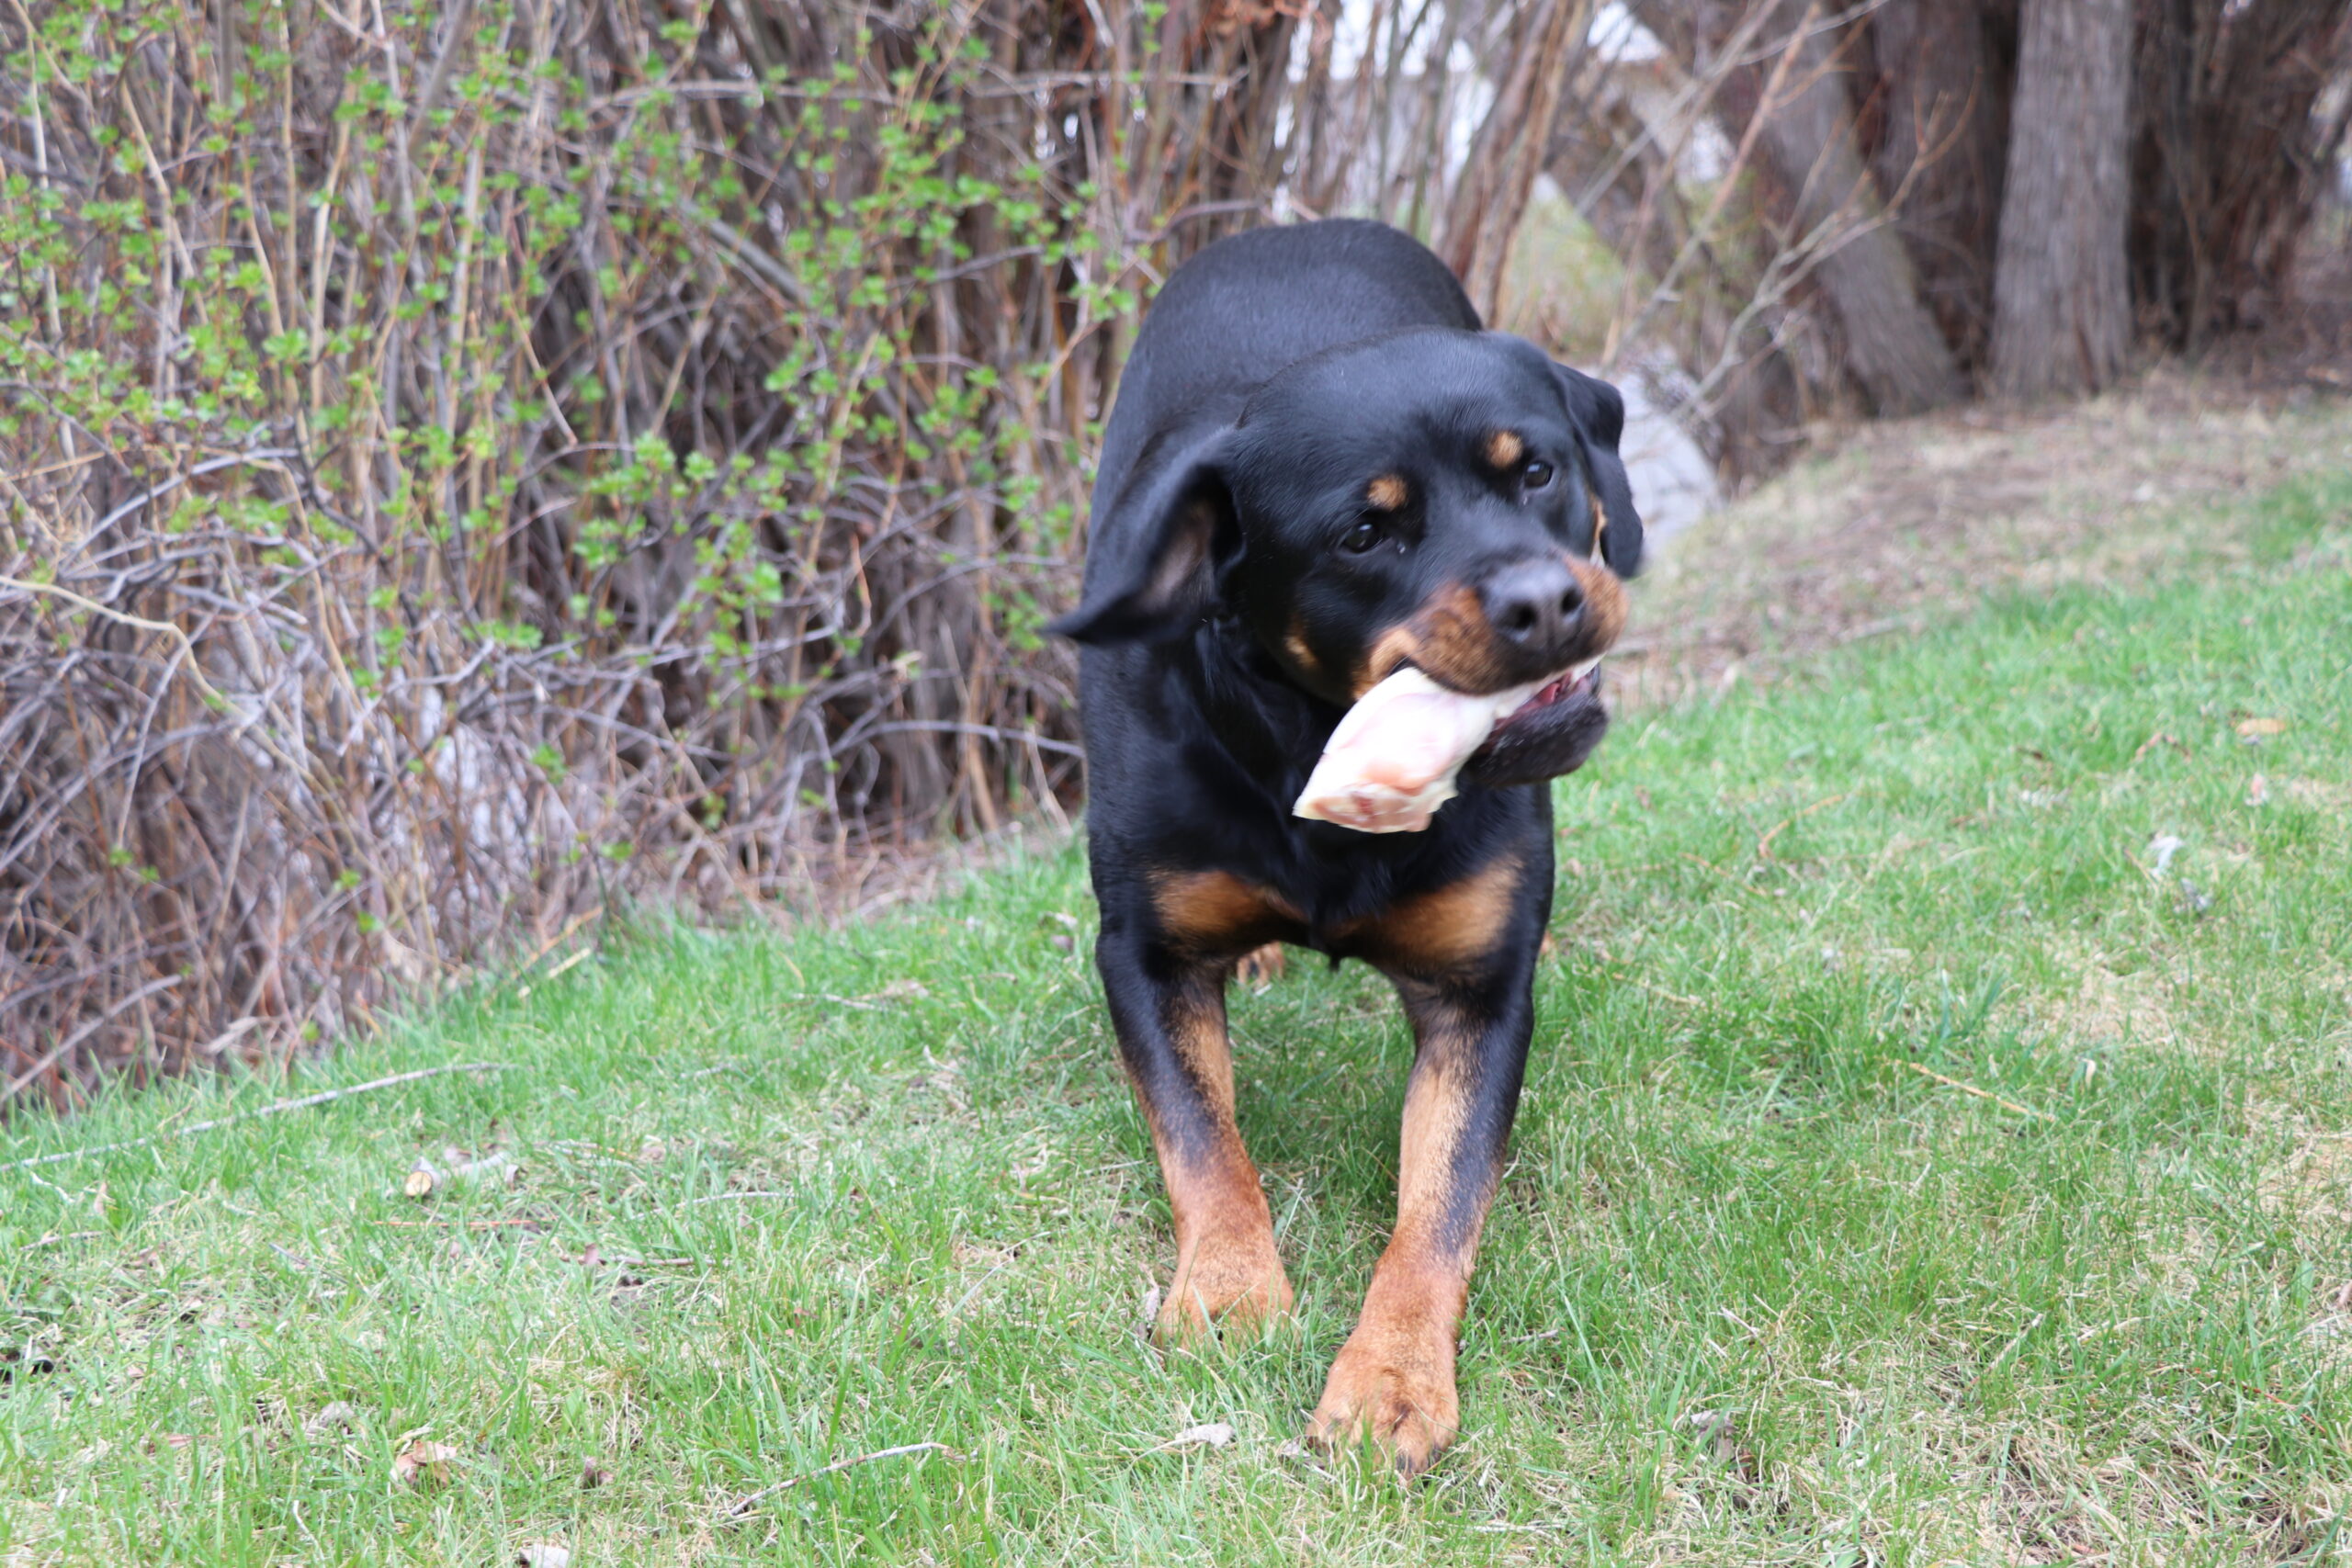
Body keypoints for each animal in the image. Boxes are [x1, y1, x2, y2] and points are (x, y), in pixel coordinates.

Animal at [1048, 215, 1636, 1476]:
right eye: (1365, 533)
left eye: (1536, 472)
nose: (1545, 601)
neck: (1310, 744)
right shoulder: (1141, 953)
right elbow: (1202, 1138)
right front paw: (1229, 1286)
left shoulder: (1479, 992)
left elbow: (1439, 1207)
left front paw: (1393, 1374)